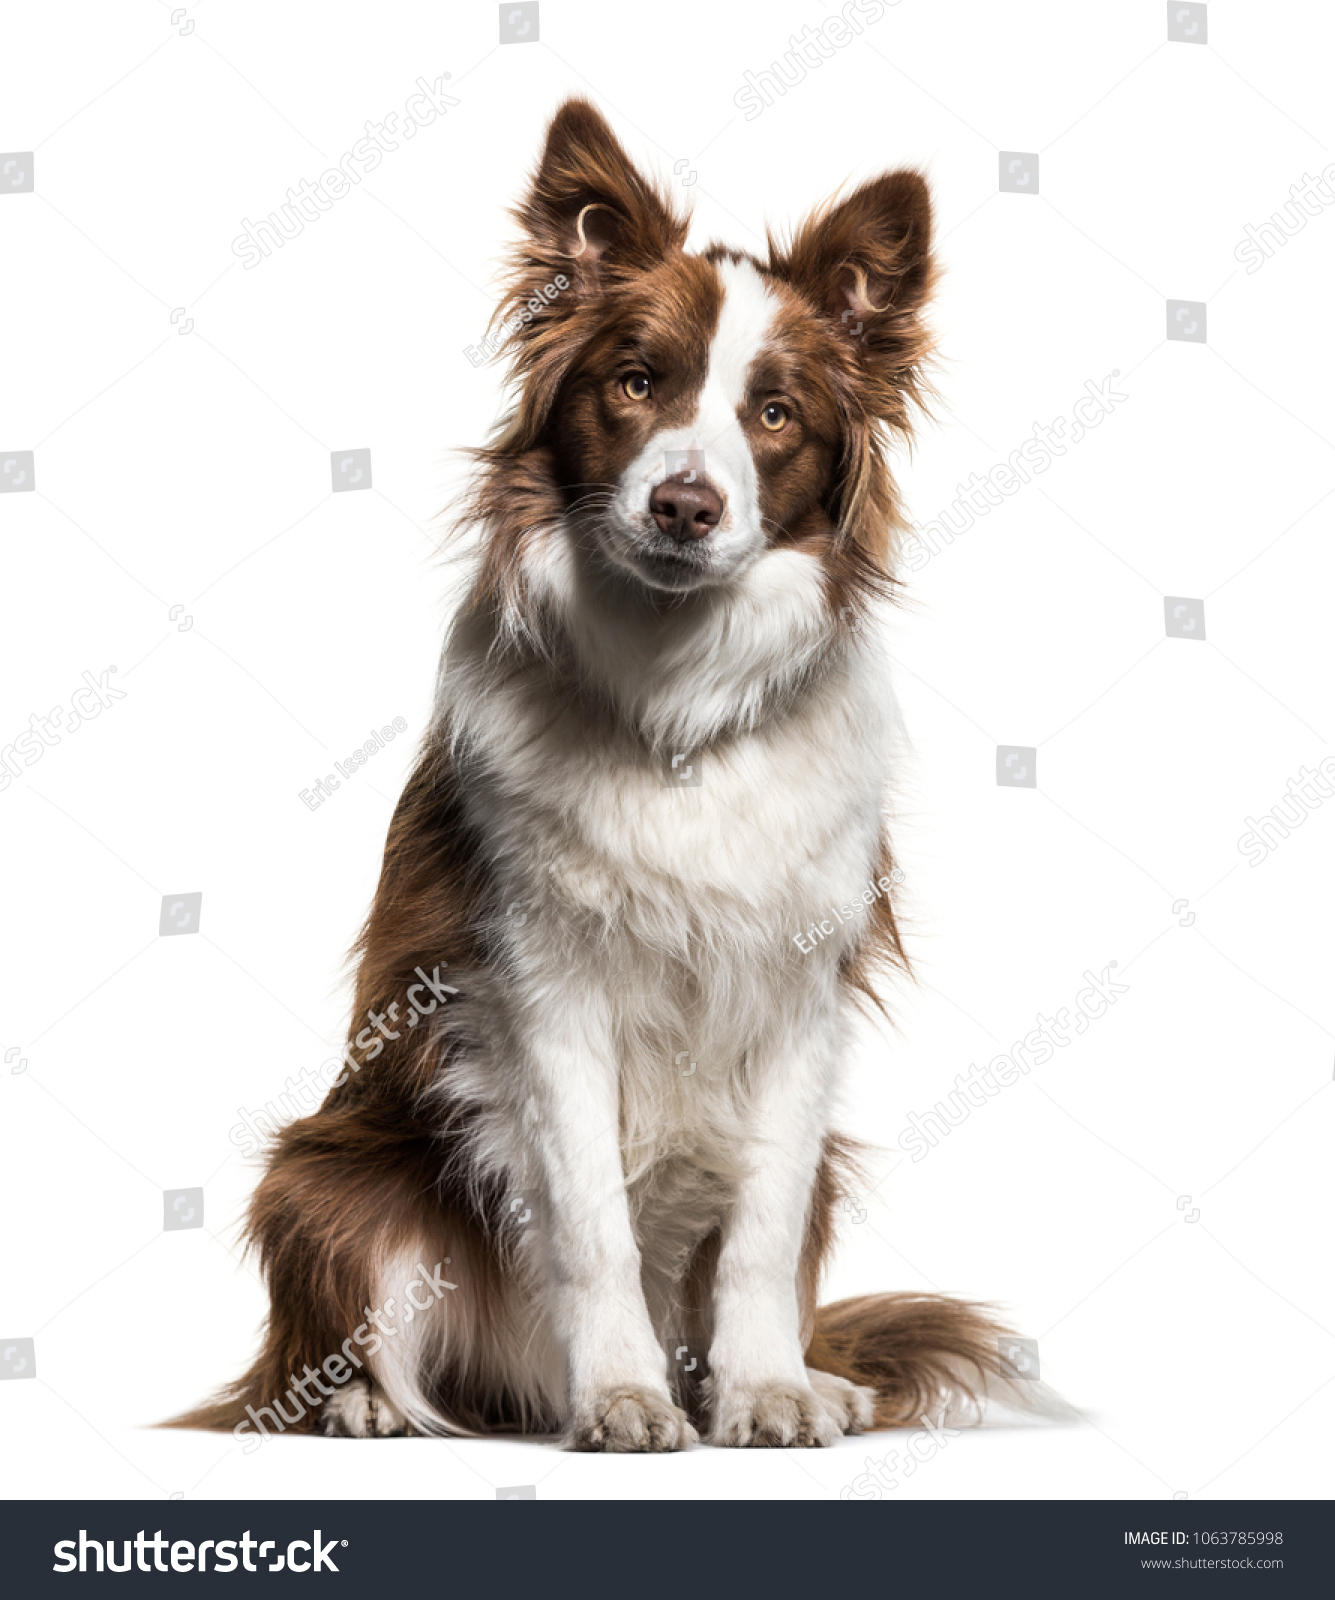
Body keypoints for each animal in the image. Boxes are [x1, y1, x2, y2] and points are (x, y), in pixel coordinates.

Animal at [174, 96, 1030, 1452]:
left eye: (774, 416)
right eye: (636, 384)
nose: (684, 504)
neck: (675, 704)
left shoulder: (801, 994)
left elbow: (760, 1230)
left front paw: (768, 1389)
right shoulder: (539, 988)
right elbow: (589, 1221)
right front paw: (624, 1395)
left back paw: (813, 1378)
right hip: (330, 1175)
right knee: (328, 1349)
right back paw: (363, 1402)